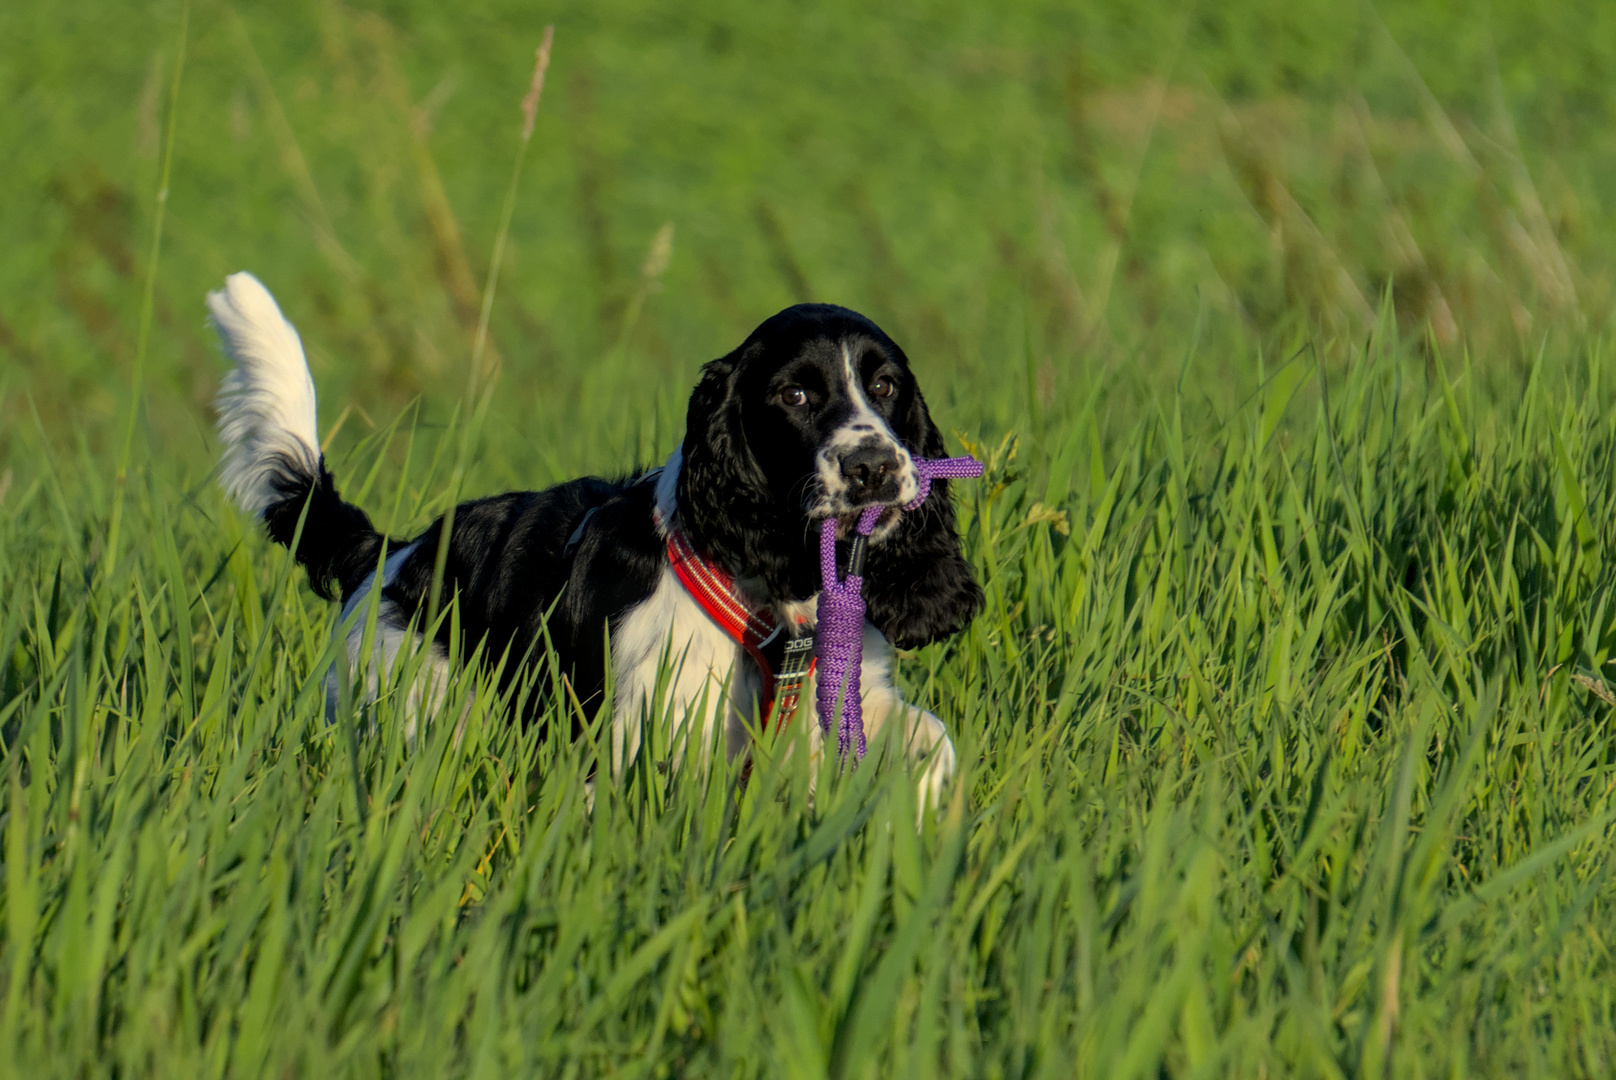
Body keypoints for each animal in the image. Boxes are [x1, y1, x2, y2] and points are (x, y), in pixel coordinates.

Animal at [208, 274, 976, 805]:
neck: (777, 601)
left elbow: (933, 740)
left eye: (886, 386)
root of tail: (387, 555)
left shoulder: (843, 698)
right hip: (399, 699)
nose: (875, 467)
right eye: (795, 396)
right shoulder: (650, 729)